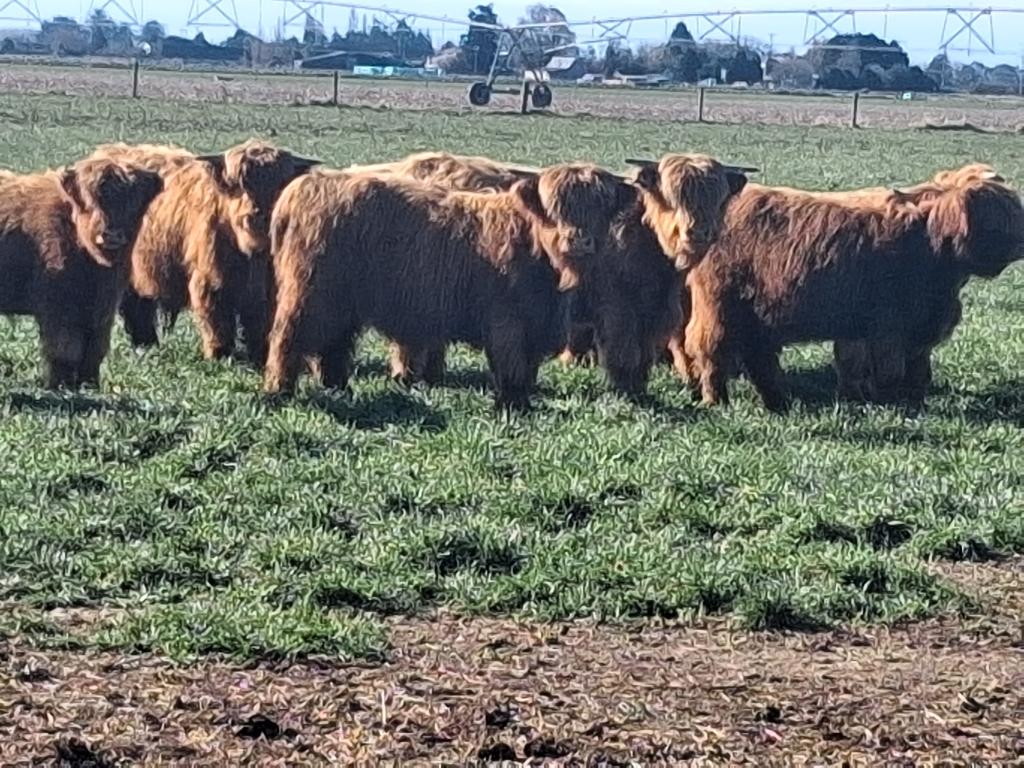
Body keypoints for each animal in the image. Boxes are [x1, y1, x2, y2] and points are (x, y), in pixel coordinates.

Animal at [0, 158, 162, 389]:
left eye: (133, 201)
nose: (111, 235)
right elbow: (66, 350)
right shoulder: (60, 307)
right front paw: (62, 385)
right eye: (91, 200)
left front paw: (90, 384)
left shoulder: (102, 310)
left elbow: (94, 351)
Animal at [92, 140, 318, 365]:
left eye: (277, 185)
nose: (256, 213)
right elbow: (217, 322)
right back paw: (145, 345)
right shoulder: (210, 281)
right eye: (237, 183)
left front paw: (260, 356)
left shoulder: (266, 290)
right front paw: (220, 354)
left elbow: (259, 324)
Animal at [264, 164, 637, 409]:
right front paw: (514, 406)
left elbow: (527, 369)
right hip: (310, 295)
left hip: (342, 304)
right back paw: (279, 390)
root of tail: (307, 185)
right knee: (288, 338)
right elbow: (511, 367)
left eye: (600, 207)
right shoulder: (506, 322)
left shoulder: (534, 325)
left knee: (335, 345)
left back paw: (339, 388)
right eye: (555, 206)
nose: (578, 240)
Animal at [678, 165, 1024, 410]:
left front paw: (907, 399)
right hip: (720, 306)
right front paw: (891, 402)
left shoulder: (909, 326)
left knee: (758, 357)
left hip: (757, 314)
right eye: (1001, 217)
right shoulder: (888, 325)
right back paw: (717, 400)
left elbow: (913, 369)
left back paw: (779, 402)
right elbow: (889, 369)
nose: (1020, 244)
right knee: (711, 350)